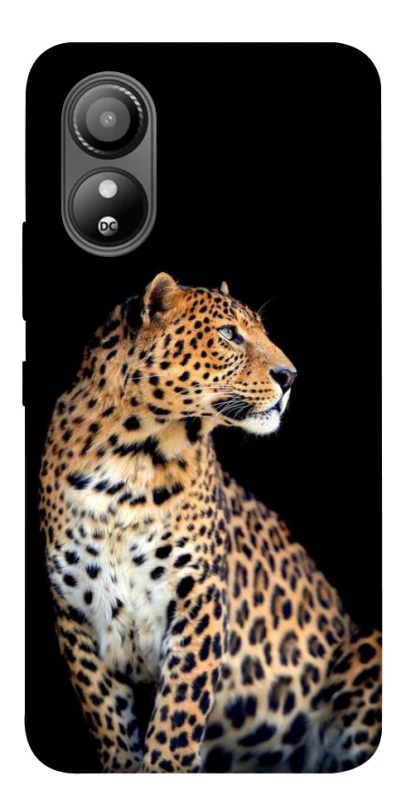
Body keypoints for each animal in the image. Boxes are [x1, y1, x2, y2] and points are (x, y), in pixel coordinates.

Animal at [39, 272, 381, 773]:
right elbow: (109, 721)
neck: (129, 460)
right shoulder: (75, 614)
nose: (290, 376)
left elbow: (176, 720)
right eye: (228, 335)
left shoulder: (199, 597)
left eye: (261, 331)